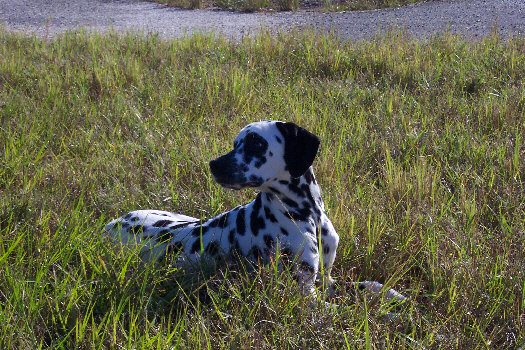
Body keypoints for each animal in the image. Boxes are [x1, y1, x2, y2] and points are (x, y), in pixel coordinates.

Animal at [105, 121, 406, 306]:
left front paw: (392, 295)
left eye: (255, 144)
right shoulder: (305, 293)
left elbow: (363, 286)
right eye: (236, 143)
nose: (214, 164)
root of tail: (110, 225)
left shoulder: (326, 278)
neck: (309, 216)